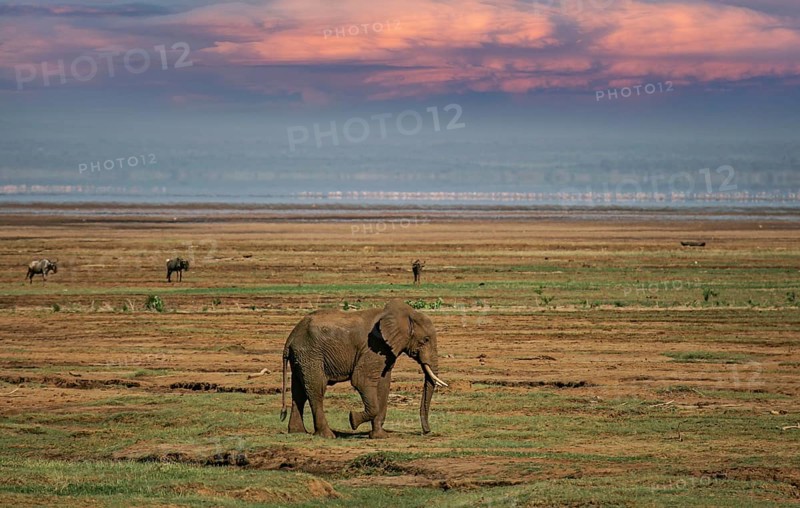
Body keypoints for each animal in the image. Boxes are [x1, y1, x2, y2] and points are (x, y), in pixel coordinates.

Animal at [279, 299, 447, 439]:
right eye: (425, 340)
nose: (427, 431)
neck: (405, 314)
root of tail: (291, 336)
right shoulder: (373, 347)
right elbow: (361, 380)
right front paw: (352, 419)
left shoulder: (386, 350)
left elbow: (383, 384)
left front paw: (379, 436)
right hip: (310, 354)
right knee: (316, 390)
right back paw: (327, 435)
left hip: (301, 357)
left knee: (299, 392)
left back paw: (298, 432)